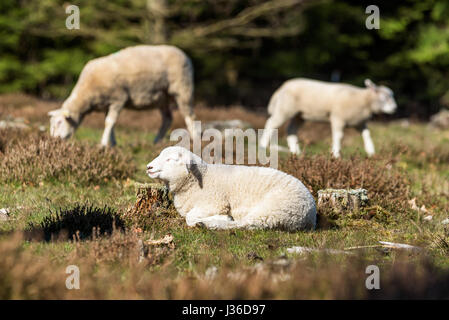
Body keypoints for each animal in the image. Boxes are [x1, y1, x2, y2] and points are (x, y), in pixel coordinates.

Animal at [48, 45, 197, 148]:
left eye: (60, 122)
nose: (54, 140)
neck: (87, 93)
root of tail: (184, 54)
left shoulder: (118, 99)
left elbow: (109, 122)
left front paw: (103, 144)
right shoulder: (107, 104)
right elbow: (111, 125)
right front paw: (112, 144)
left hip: (182, 89)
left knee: (189, 116)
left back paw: (195, 139)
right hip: (162, 97)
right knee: (167, 118)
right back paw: (156, 142)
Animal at [146, 146, 316, 231]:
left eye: (170, 159)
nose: (149, 167)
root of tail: (310, 216)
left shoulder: (214, 203)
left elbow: (189, 217)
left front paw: (221, 217)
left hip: (273, 209)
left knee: (244, 224)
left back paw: (213, 223)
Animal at [260, 78, 396, 158]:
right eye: (384, 97)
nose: (394, 108)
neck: (363, 100)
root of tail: (282, 87)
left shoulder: (359, 122)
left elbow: (367, 135)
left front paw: (371, 152)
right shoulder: (338, 117)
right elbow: (339, 136)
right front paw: (336, 154)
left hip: (300, 115)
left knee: (291, 130)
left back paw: (295, 151)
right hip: (285, 109)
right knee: (271, 123)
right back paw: (262, 145)